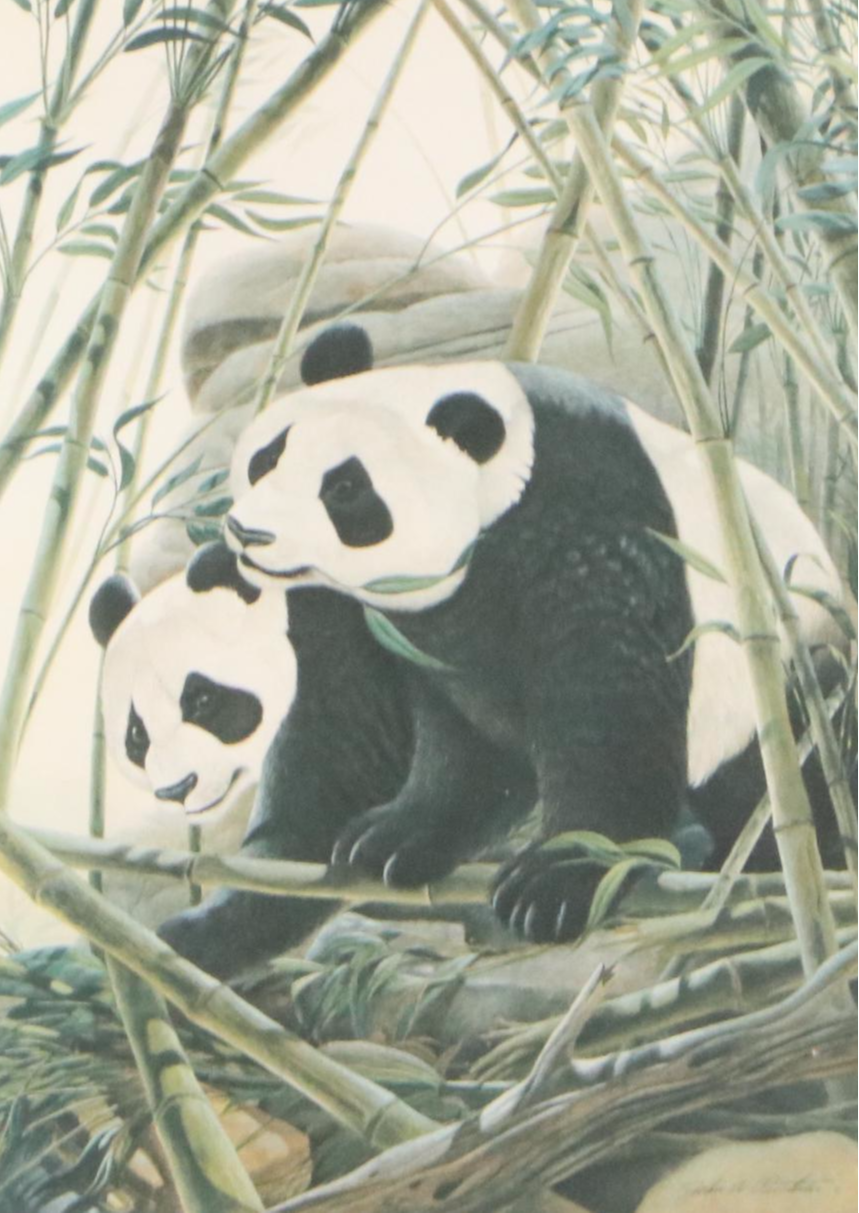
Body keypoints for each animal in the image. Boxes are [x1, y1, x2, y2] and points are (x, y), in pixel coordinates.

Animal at [90, 542, 535, 976]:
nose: (178, 789)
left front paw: (397, 840)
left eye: (201, 700)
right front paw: (189, 938)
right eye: (136, 735)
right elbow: (309, 828)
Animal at [223, 323, 851, 944]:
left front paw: (559, 877)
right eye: (267, 458)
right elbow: (462, 740)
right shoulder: (441, 632)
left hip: (797, 685)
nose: (247, 533)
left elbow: (612, 709)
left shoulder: (601, 534)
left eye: (346, 488)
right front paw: (395, 837)